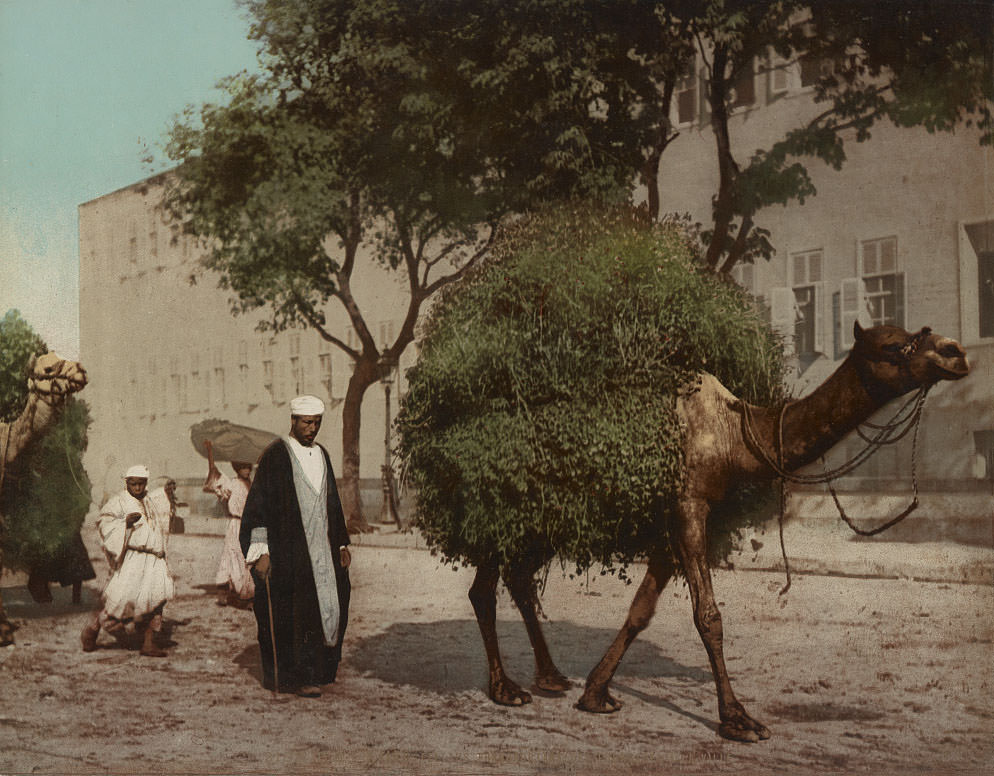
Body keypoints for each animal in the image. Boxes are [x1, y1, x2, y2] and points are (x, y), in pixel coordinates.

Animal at [466, 320, 968, 740]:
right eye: (892, 346)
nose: (955, 351)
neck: (735, 437)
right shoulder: (689, 505)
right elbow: (708, 616)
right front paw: (738, 719)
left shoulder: (671, 519)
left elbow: (641, 610)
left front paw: (595, 693)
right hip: (503, 506)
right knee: (484, 586)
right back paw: (505, 688)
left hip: (542, 518)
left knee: (518, 577)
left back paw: (550, 678)